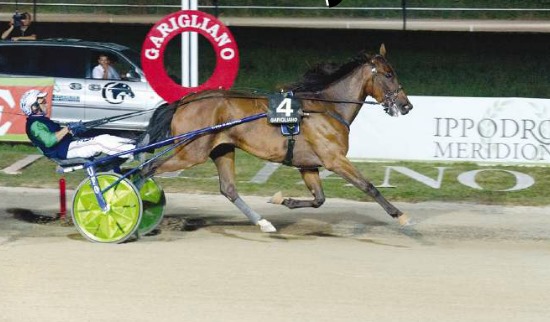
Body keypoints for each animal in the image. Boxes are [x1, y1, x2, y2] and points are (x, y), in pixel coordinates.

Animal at [142, 44, 414, 233]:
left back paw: (263, 223)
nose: (406, 105)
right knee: (147, 169)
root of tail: (185, 100)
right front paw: (400, 216)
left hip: (221, 149)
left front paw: (284, 200)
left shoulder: (308, 164)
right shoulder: (334, 159)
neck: (327, 108)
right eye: (388, 74)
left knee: (228, 189)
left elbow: (319, 199)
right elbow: (368, 186)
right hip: (191, 152)